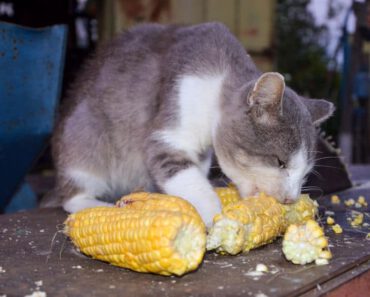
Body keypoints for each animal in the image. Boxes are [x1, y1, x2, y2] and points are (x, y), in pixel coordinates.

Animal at [41, 22, 336, 227]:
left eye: (306, 173)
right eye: (280, 162)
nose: (290, 199)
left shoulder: (202, 151)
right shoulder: (168, 130)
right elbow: (187, 177)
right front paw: (215, 216)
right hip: (83, 138)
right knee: (72, 195)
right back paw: (97, 204)